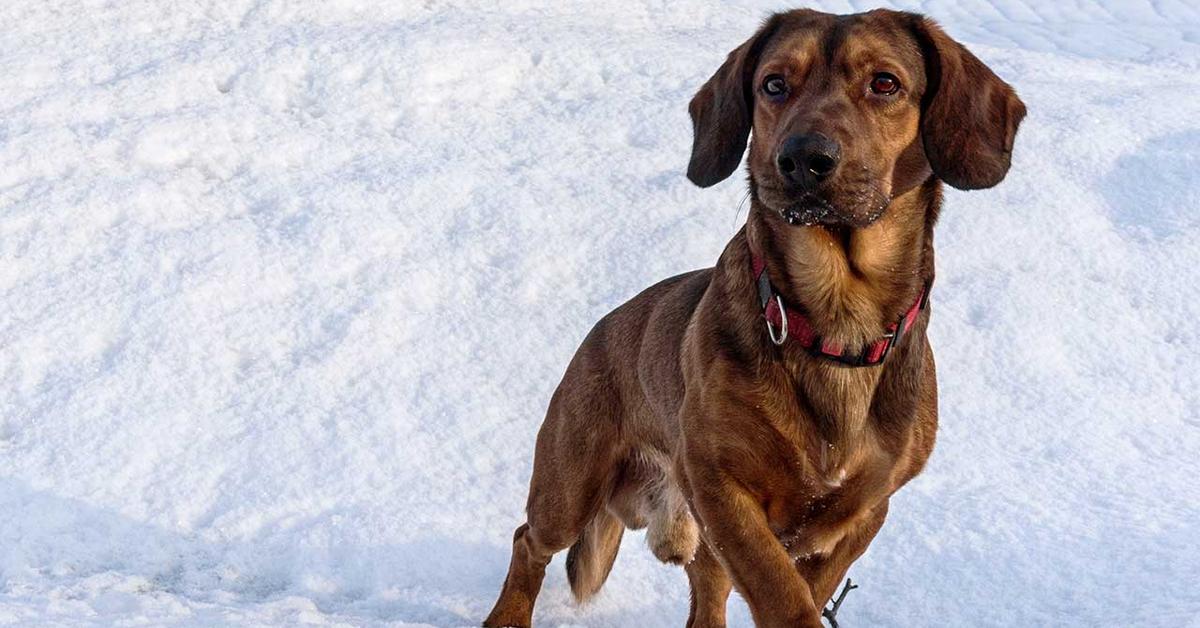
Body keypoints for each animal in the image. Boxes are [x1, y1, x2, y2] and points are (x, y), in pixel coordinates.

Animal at [482, 6, 1027, 628]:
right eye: (773, 84)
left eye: (885, 83)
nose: (803, 160)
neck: (836, 325)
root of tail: (596, 332)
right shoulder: (719, 486)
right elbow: (781, 595)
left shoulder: (861, 514)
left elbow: (808, 588)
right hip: (571, 485)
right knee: (529, 540)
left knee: (704, 594)